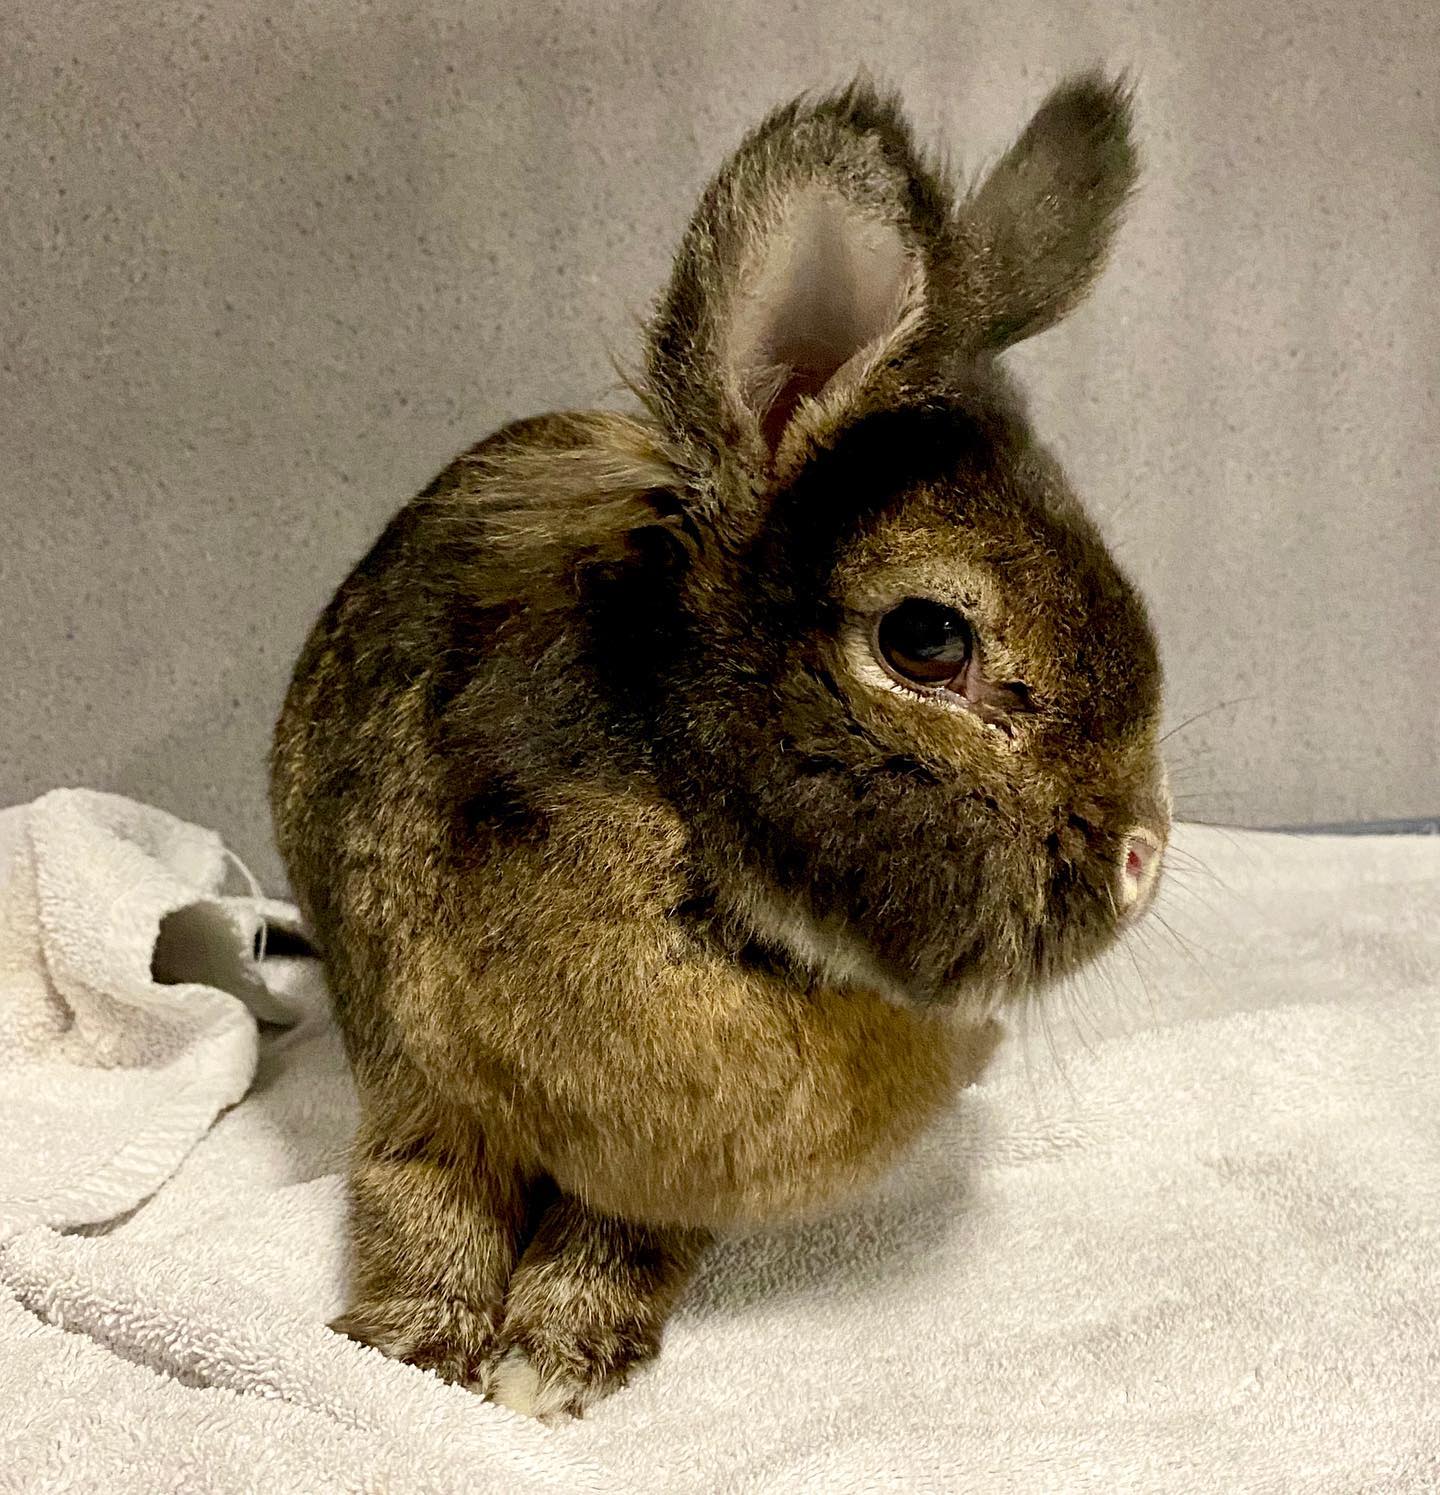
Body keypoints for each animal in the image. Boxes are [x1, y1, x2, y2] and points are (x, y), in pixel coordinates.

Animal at [270, 68, 1169, 1420]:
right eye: (924, 638)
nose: (1144, 857)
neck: (710, 880)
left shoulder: (659, 1183)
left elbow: (616, 1244)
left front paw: (553, 1362)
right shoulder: (422, 1085)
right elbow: (420, 1206)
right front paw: (412, 1351)